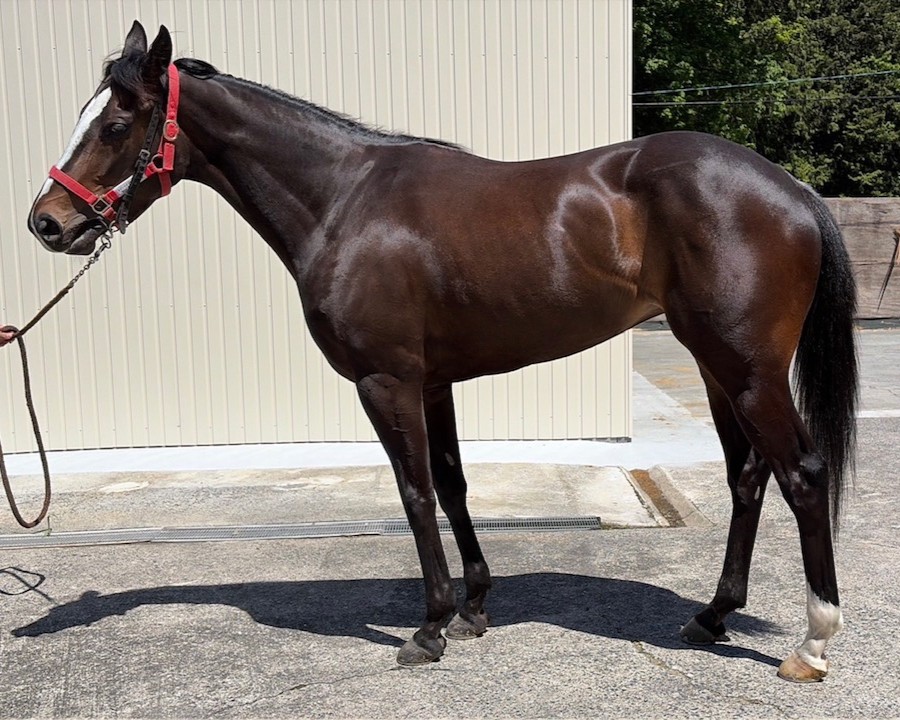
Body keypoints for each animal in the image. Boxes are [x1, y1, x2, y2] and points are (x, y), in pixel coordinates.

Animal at [27, 22, 857, 682]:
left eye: (115, 124)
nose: (47, 222)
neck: (344, 201)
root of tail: (791, 190)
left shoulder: (384, 380)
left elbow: (415, 493)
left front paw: (427, 629)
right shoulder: (433, 383)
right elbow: (455, 487)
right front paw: (474, 606)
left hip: (745, 368)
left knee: (803, 474)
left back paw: (813, 644)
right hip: (719, 367)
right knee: (749, 477)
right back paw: (711, 617)